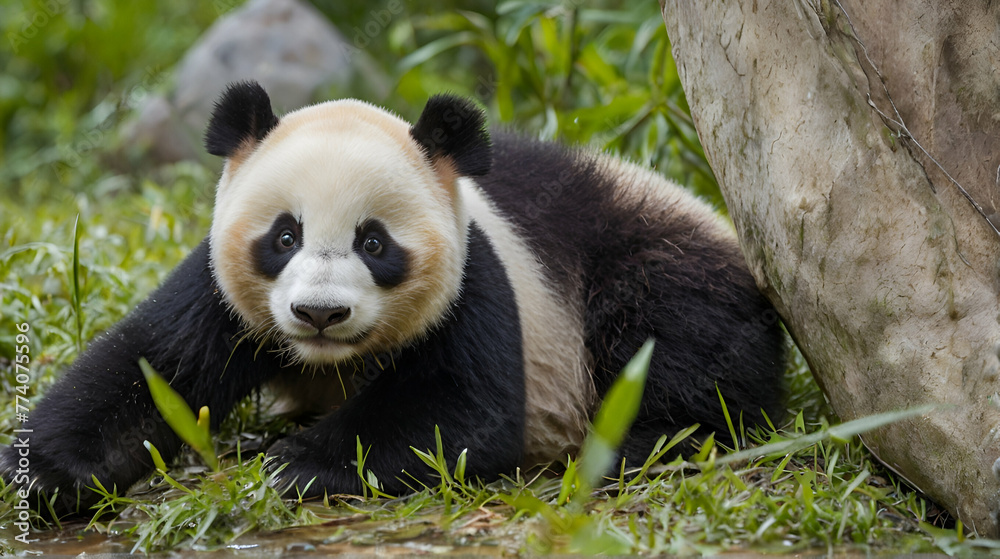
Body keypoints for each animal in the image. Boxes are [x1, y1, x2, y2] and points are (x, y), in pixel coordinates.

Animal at [2, 81, 784, 507]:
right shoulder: (219, 288)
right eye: (284, 236)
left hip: (651, 253)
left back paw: (645, 440)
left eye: (374, 243)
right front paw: (43, 472)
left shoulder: (477, 279)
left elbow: (461, 406)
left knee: (676, 335)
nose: (319, 312)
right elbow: (152, 364)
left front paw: (300, 463)